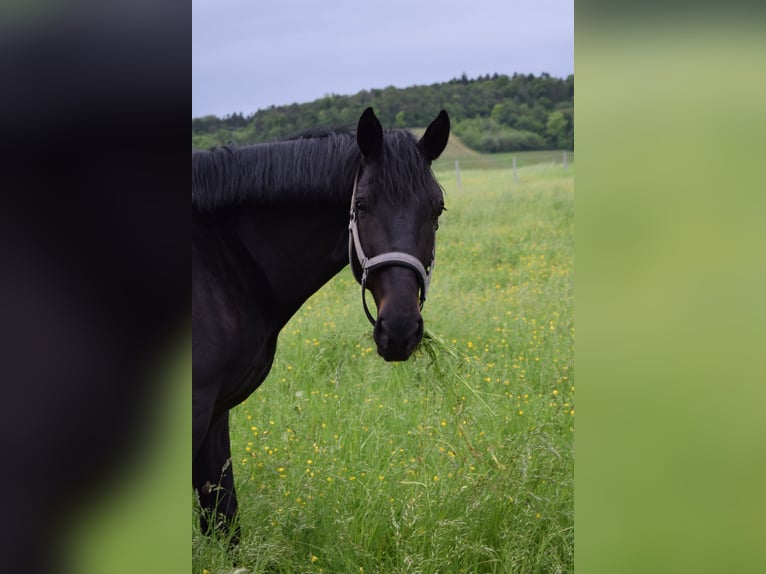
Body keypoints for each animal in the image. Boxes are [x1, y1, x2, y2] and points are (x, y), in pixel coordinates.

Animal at [192, 107, 452, 540]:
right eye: (361, 205)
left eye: (437, 210)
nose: (400, 329)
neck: (222, 260)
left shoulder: (215, 414)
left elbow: (226, 524)